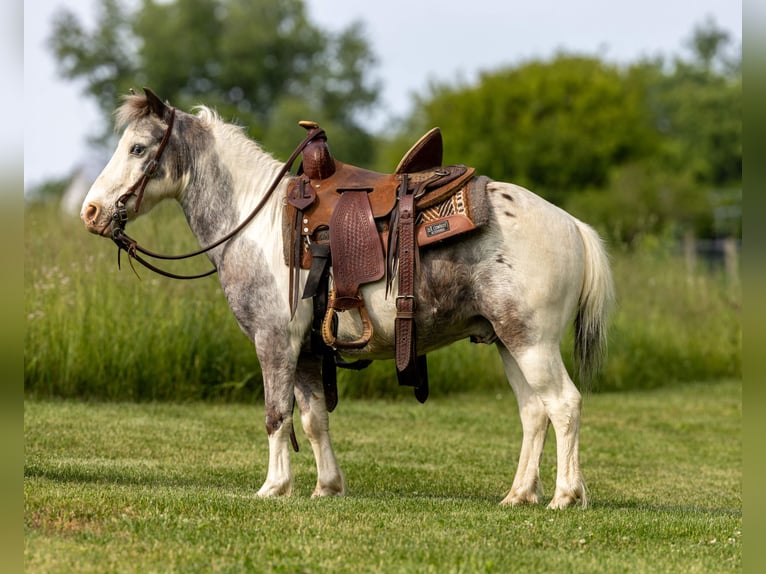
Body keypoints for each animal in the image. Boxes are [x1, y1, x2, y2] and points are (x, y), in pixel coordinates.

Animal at [81, 89, 614, 509]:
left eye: (137, 147)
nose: (91, 211)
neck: (258, 225)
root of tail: (573, 226)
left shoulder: (274, 340)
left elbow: (276, 414)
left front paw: (274, 487)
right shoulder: (307, 352)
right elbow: (314, 419)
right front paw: (327, 487)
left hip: (532, 343)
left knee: (564, 405)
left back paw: (566, 496)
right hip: (506, 341)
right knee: (534, 413)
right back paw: (519, 495)